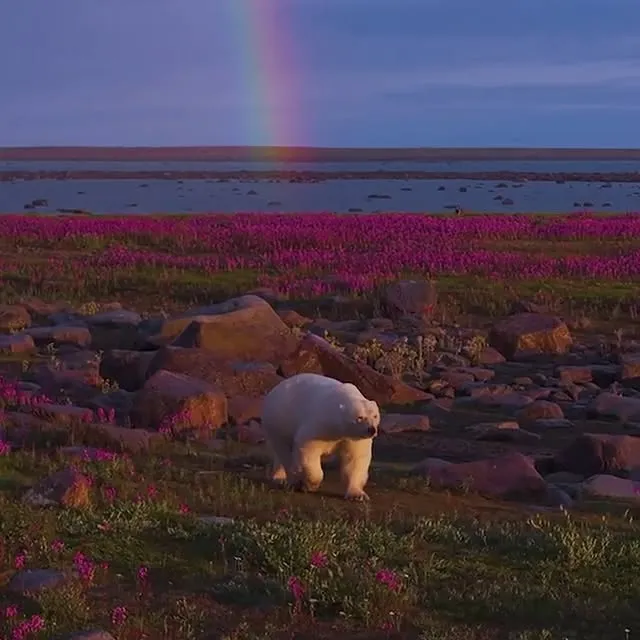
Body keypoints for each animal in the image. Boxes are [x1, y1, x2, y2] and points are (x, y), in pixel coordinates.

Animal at [260, 373, 380, 501]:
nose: (371, 430)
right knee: (283, 449)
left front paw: (357, 495)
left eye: (375, 416)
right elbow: (309, 449)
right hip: (279, 419)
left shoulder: (353, 437)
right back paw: (288, 479)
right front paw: (310, 485)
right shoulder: (320, 423)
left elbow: (355, 458)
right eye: (360, 417)